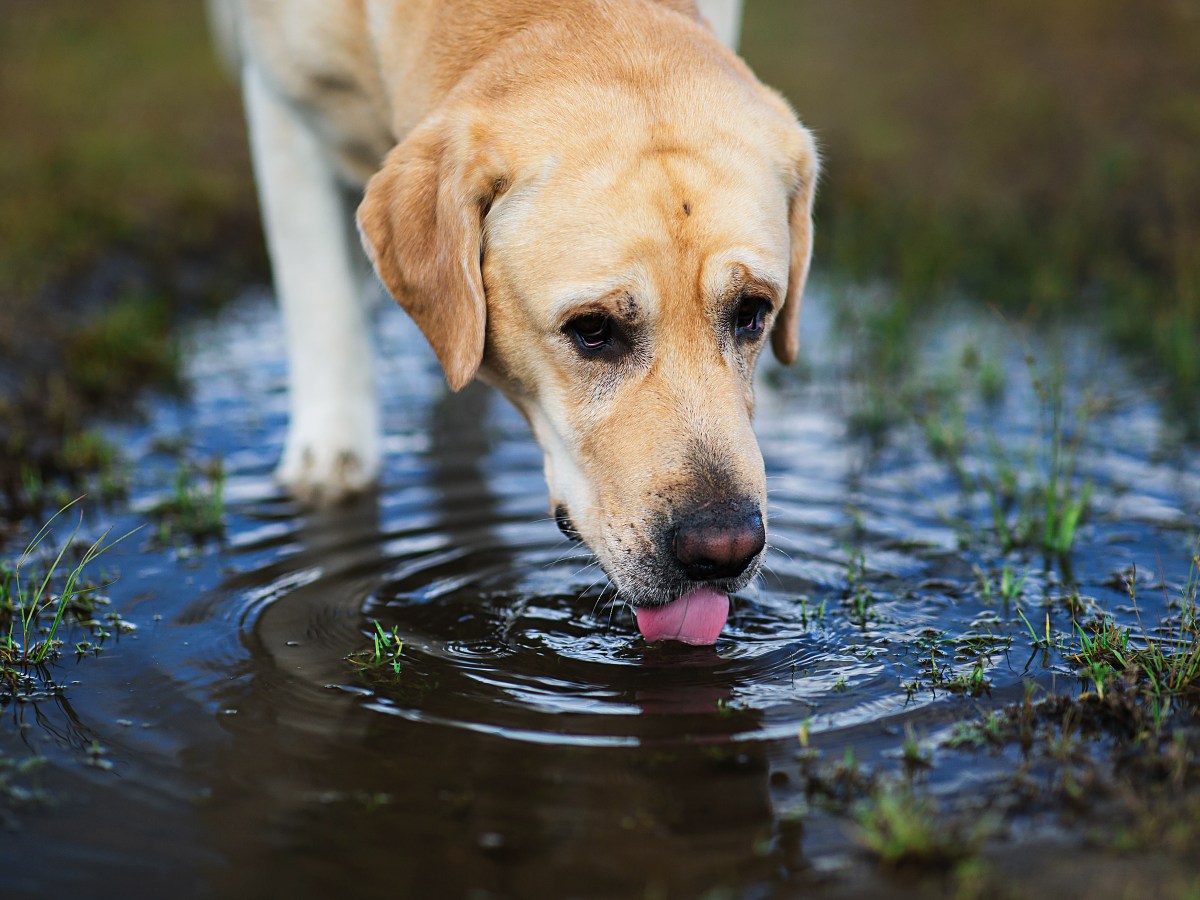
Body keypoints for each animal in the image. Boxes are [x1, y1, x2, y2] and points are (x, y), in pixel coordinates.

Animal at [211, 1, 820, 648]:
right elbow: (319, 294)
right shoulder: (283, 109)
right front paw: (331, 454)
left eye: (753, 312)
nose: (724, 549)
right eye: (592, 330)